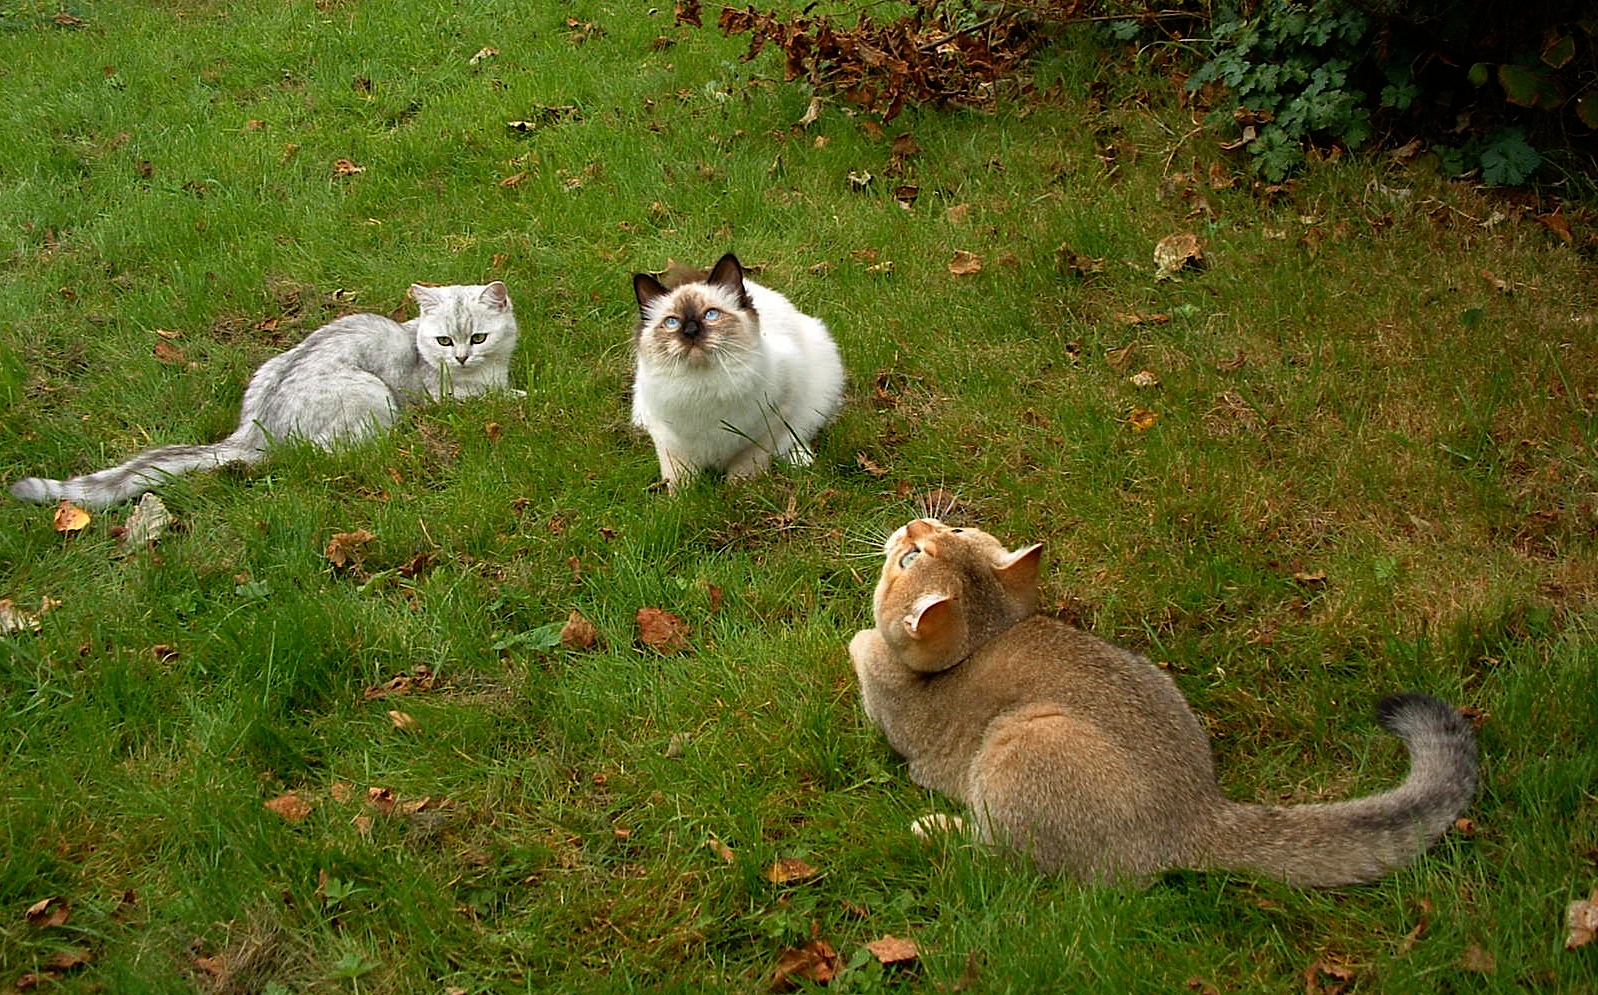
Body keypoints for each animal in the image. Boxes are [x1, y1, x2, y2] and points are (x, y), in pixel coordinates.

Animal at [9, 282, 519, 509]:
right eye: (444, 342)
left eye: (477, 337)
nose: (461, 359)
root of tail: (252, 433)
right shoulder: (448, 399)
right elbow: (506, 398)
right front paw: (521, 396)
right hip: (372, 394)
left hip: (270, 366)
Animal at [630, 253, 844, 493]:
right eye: (672, 322)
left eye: (711, 315)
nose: (691, 331)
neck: (702, 387)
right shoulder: (669, 441)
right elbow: (679, 480)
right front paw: (681, 498)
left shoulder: (767, 426)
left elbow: (744, 469)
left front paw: (738, 492)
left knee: (798, 433)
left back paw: (802, 460)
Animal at [848, 517, 1479, 887]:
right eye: (951, 524)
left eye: (912, 556)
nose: (913, 521)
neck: (985, 638)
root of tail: (1200, 813)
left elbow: (860, 655)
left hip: (1024, 741)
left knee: (1013, 862)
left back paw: (936, 829)